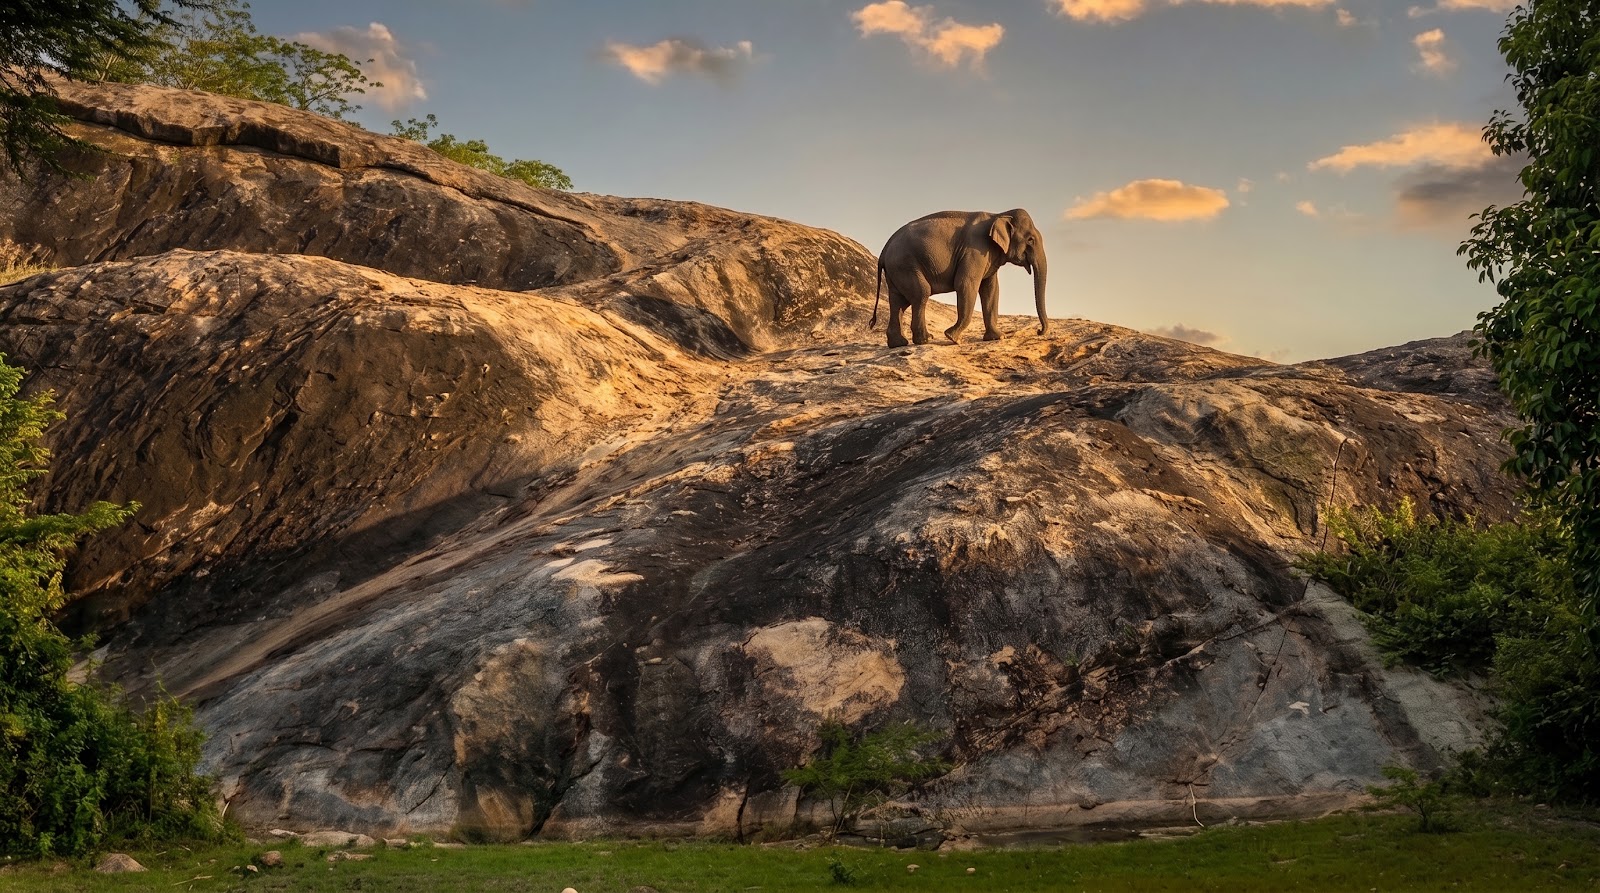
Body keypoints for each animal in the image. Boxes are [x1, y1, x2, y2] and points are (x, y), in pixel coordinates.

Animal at [870, 208, 1049, 347]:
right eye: (1030, 240)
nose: (1039, 331)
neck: (998, 214)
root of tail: (884, 251)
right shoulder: (975, 250)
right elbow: (966, 284)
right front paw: (953, 338)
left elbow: (991, 290)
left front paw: (998, 337)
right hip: (905, 264)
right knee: (921, 293)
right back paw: (926, 340)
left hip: (896, 270)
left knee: (898, 302)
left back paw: (898, 344)